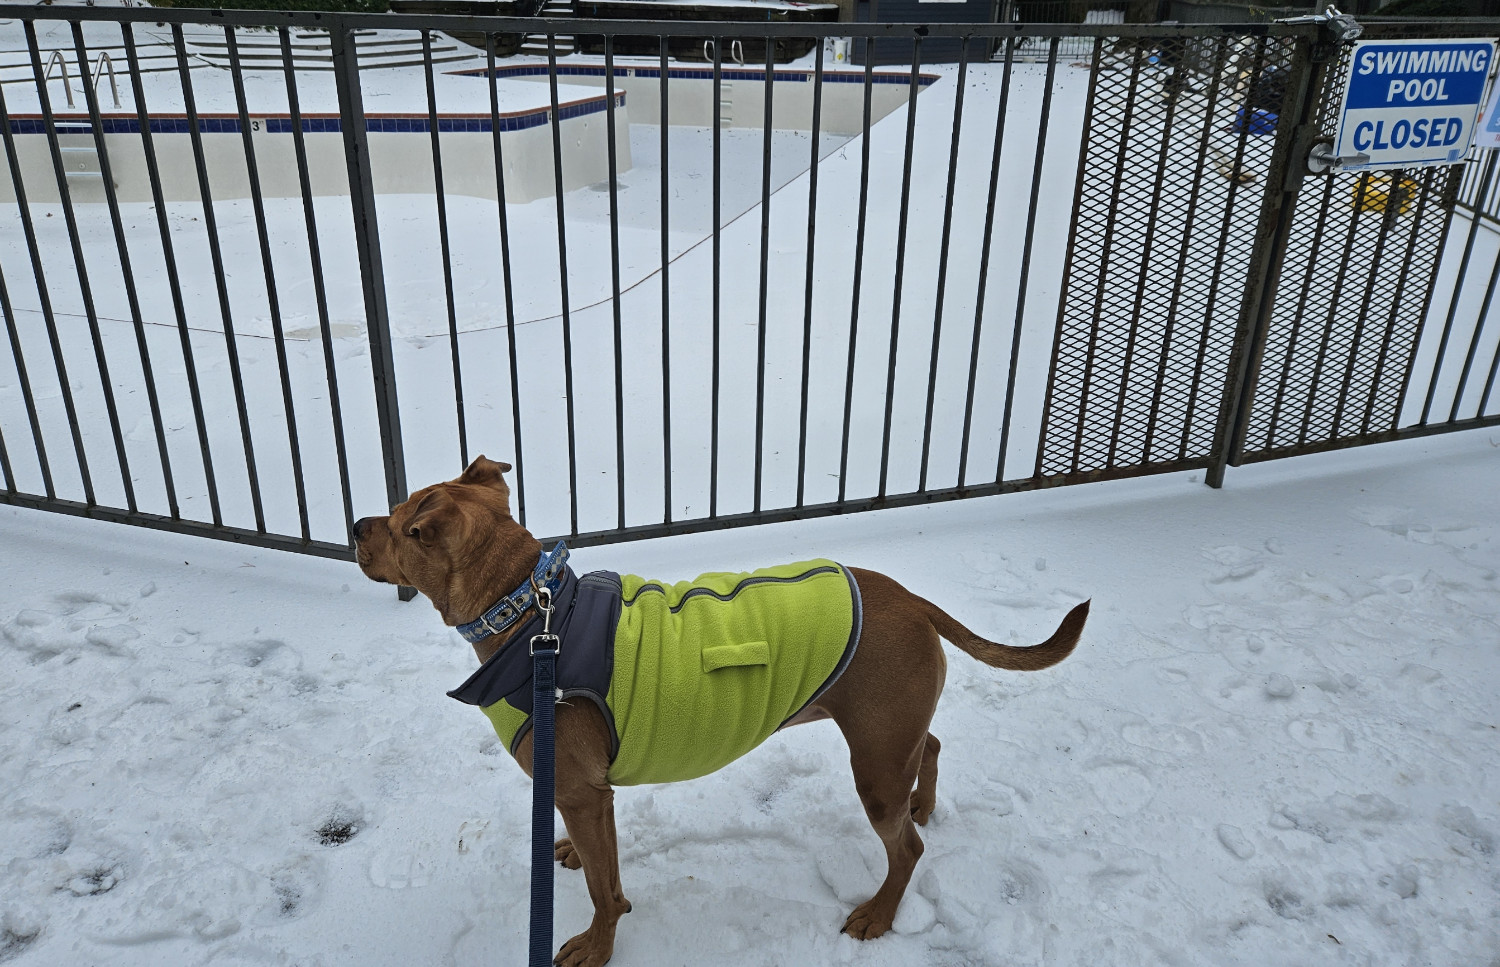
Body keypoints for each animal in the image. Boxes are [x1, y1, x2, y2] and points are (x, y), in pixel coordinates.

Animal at [360, 455, 1092, 959]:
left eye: (402, 526)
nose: (357, 525)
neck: (532, 613)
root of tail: (914, 600)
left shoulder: (580, 792)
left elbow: (604, 889)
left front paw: (598, 946)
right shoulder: (594, 798)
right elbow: (606, 869)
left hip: (876, 764)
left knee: (906, 849)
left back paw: (879, 913)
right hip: (891, 734)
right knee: (931, 745)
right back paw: (926, 802)